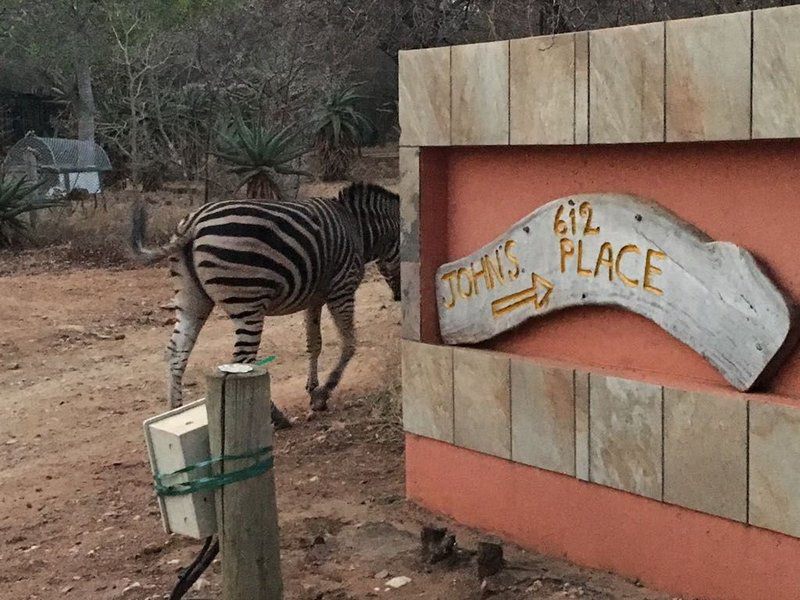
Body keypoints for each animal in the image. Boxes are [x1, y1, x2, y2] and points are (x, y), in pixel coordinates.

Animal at [134, 183, 404, 426]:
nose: (400, 297)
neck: (358, 229)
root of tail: (194, 224)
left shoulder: (314, 297)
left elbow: (314, 344)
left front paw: (312, 388)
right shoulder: (342, 289)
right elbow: (349, 343)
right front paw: (324, 393)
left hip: (192, 300)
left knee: (176, 353)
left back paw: (174, 412)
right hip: (248, 304)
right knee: (243, 362)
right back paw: (276, 417)